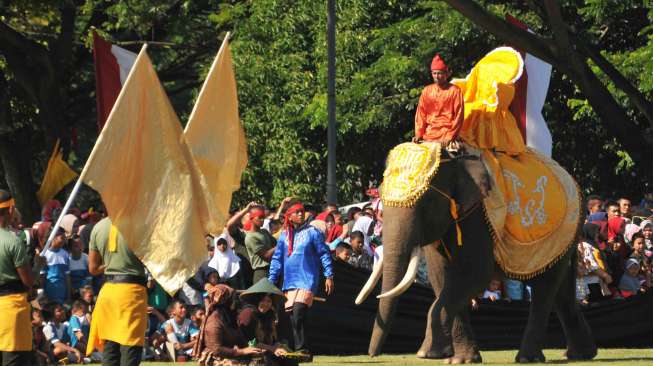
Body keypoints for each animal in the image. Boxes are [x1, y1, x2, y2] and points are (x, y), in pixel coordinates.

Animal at [356, 149, 596, 364]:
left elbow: (475, 274)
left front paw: (427, 354)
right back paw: (580, 355)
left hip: (561, 230)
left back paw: (529, 358)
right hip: (563, 241)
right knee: (562, 291)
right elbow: (441, 277)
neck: (454, 161)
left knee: (545, 289)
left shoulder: (477, 215)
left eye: (426, 201)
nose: (372, 355)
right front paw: (460, 360)